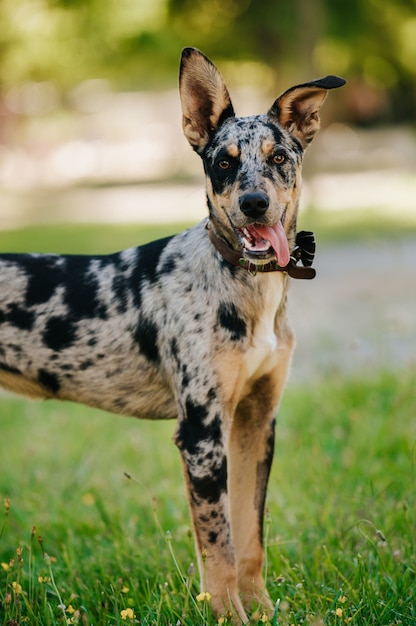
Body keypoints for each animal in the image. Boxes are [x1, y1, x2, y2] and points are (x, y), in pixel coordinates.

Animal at [0, 47, 344, 620]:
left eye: (278, 157)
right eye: (223, 162)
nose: (254, 202)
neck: (244, 284)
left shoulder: (256, 422)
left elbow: (250, 537)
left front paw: (263, 612)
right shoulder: (201, 432)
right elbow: (219, 546)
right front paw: (229, 617)